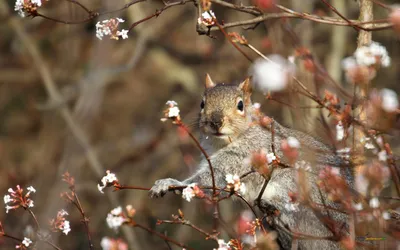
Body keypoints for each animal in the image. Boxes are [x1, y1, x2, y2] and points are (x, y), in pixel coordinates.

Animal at [150, 74, 356, 250]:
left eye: (240, 105)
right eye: (202, 103)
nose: (216, 121)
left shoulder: (241, 156)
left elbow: (207, 179)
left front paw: (170, 183)